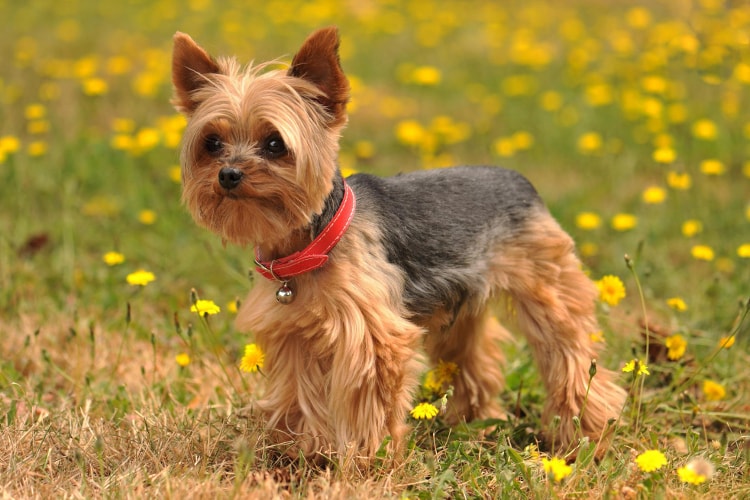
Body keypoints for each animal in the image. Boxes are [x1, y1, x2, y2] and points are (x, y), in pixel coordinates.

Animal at [172, 27, 628, 462]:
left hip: (547, 283)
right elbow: (300, 394)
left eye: (274, 144)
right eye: (211, 143)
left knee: (569, 353)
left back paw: (586, 435)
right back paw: (470, 421)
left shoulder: (371, 335)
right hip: (458, 308)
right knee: (473, 360)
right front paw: (299, 451)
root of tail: (518, 178)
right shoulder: (292, 334)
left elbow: (366, 400)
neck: (312, 240)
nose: (229, 174)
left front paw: (363, 458)